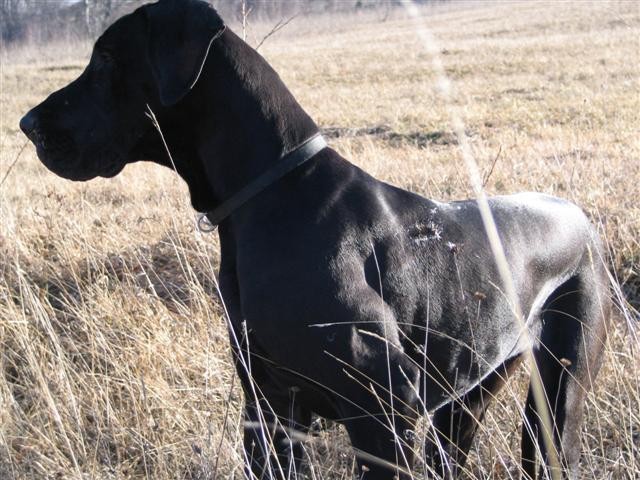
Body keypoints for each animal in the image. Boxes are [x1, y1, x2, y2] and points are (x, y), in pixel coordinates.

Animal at [21, 1, 608, 478]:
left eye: (105, 60)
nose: (27, 123)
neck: (271, 196)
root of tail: (578, 216)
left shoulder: (381, 411)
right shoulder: (270, 410)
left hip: (556, 402)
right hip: (465, 401)